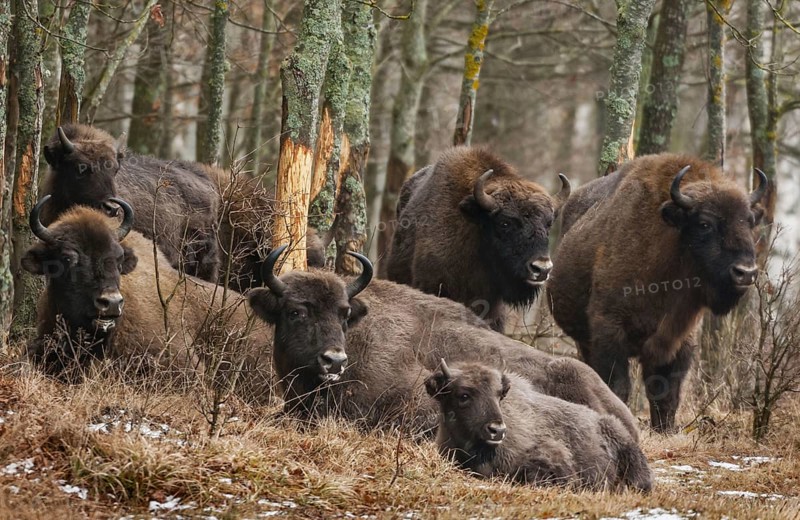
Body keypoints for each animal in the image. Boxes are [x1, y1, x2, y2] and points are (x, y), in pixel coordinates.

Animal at [547, 154, 767, 432]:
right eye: (705, 223)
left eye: (749, 221)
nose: (745, 273)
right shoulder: (609, 330)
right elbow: (618, 386)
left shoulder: (679, 341)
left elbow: (666, 393)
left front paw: (664, 429)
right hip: (583, 338)